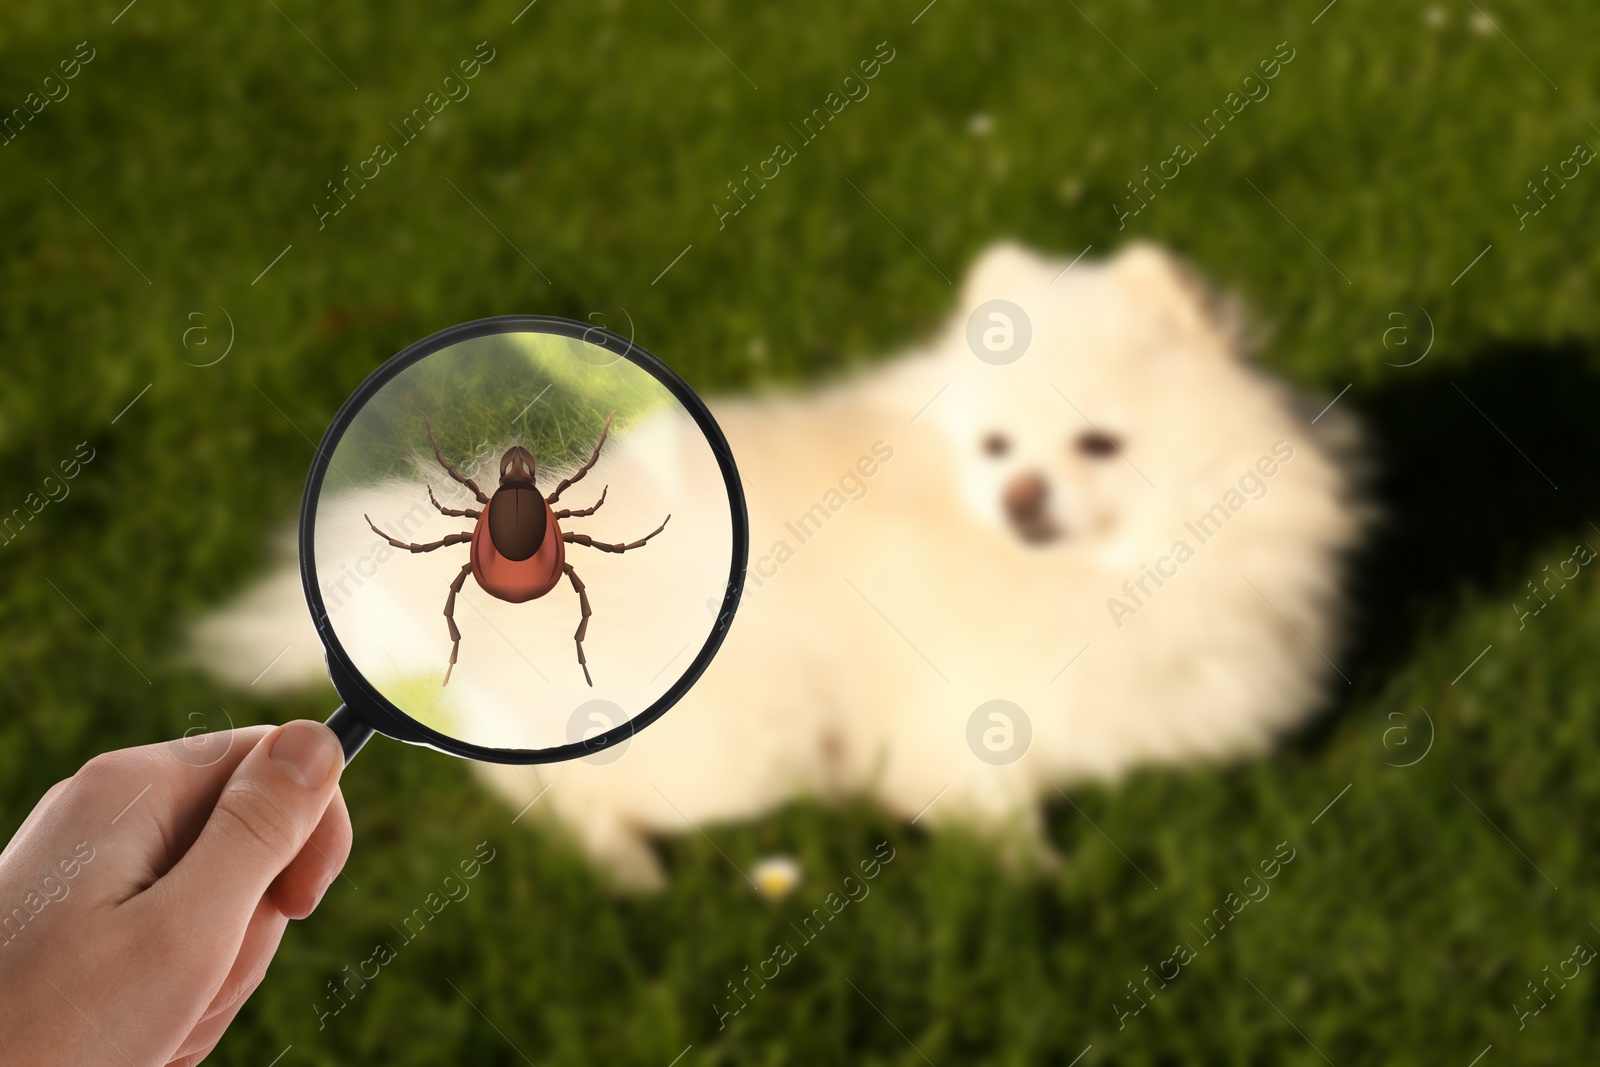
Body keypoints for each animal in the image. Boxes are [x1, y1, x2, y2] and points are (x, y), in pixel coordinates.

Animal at [190, 241, 1363, 883]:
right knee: (565, 795)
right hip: (725, 745)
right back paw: (626, 867)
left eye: (1100, 444)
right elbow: (999, 809)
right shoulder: (968, 715)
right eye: (996, 447)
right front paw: (1045, 881)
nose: (1022, 497)